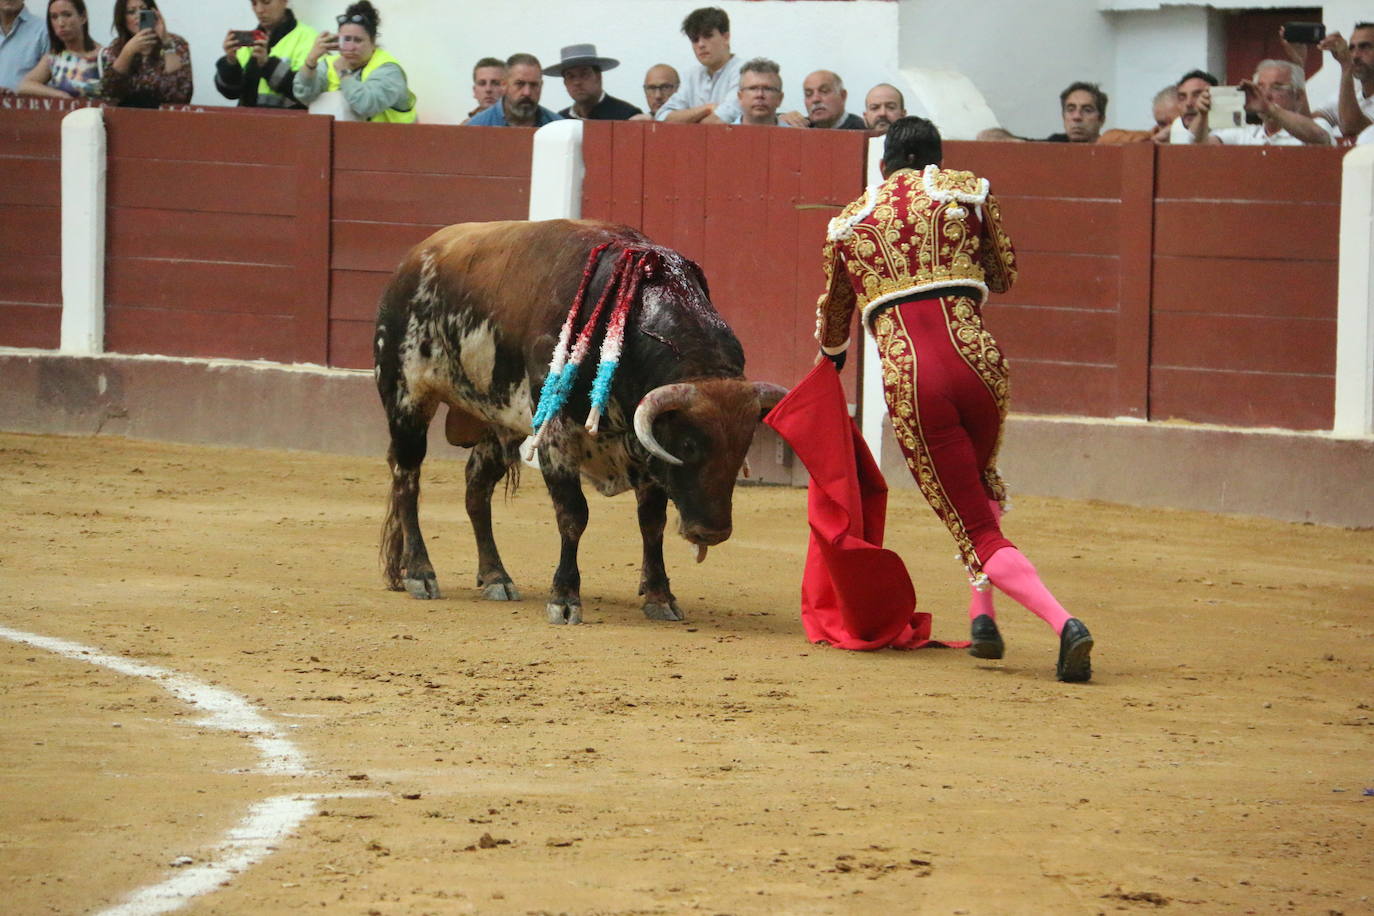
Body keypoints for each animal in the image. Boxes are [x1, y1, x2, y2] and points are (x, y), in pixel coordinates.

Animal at [376, 218, 785, 626]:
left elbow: (652, 522)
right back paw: (420, 573)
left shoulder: (643, 449)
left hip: (495, 420)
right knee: (407, 480)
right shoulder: (556, 436)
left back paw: (496, 577)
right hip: (407, 398)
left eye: (744, 445)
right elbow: (573, 514)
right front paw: (565, 597)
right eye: (687, 445)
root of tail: (413, 261)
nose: (712, 531)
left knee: (476, 489)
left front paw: (659, 596)